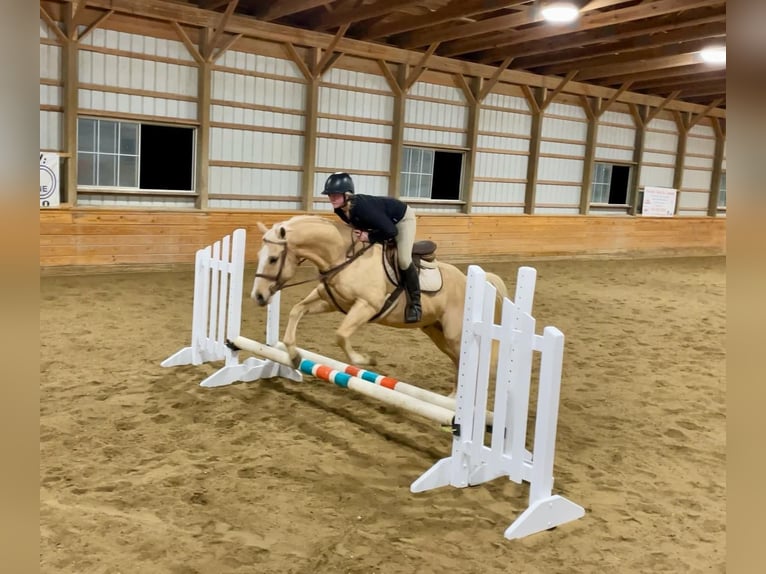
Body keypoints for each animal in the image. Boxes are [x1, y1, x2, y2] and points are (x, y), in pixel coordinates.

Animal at [250, 216, 510, 396]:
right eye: (260, 255)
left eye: (273, 259)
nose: (258, 296)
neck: (342, 257)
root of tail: (469, 280)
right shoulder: (329, 302)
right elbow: (297, 311)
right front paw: (294, 357)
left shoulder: (366, 306)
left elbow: (341, 335)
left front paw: (366, 361)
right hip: (436, 332)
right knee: (458, 362)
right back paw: (454, 398)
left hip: (455, 334)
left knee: (471, 363)